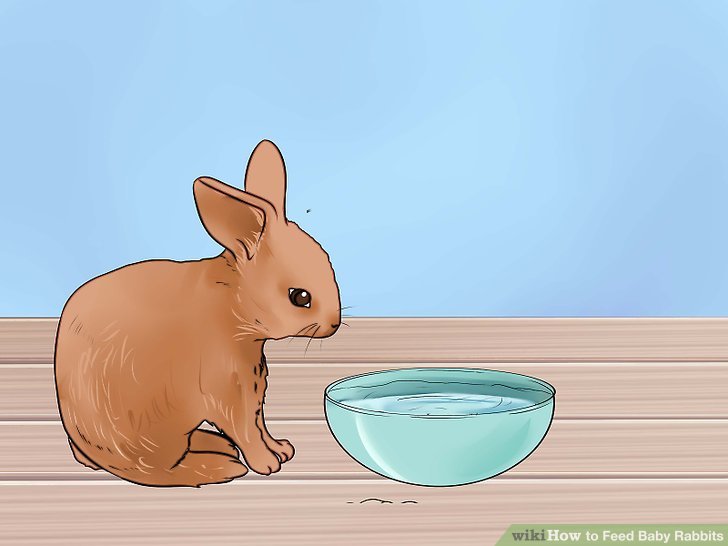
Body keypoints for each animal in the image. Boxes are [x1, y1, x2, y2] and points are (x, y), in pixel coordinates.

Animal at [54, 140, 341, 487]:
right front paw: (267, 464)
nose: (335, 323)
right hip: (154, 434)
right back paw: (223, 466)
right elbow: (247, 431)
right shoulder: (226, 390)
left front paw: (281, 449)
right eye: (300, 297)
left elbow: (259, 425)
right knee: (160, 470)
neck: (234, 309)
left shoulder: (252, 389)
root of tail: (86, 445)